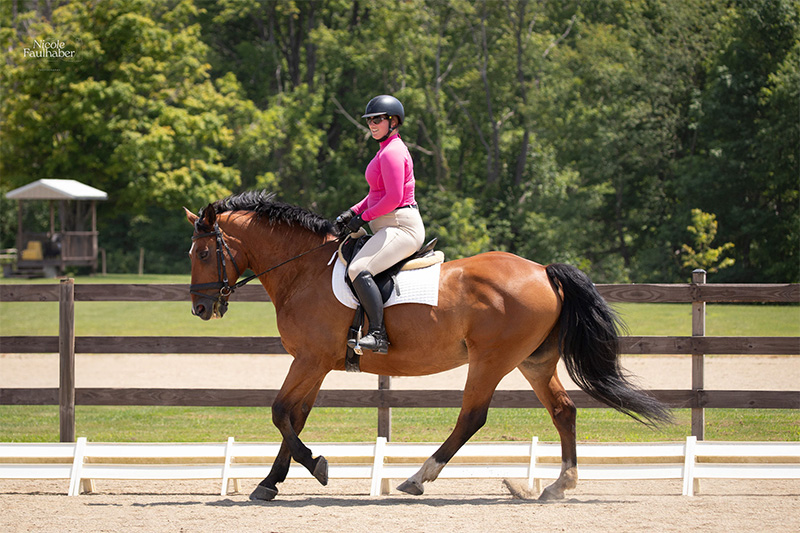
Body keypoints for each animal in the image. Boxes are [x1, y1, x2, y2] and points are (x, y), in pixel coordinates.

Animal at [186, 190, 668, 498]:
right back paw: (559, 484)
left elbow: (280, 412)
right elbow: (295, 416)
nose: (201, 309)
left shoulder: (309, 359)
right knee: (563, 411)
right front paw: (269, 483)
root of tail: (543, 270)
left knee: (472, 417)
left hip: (491, 359)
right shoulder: (316, 363)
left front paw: (316, 466)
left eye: (205, 254)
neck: (304, 271)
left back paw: (417, 478)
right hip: (534, 362)